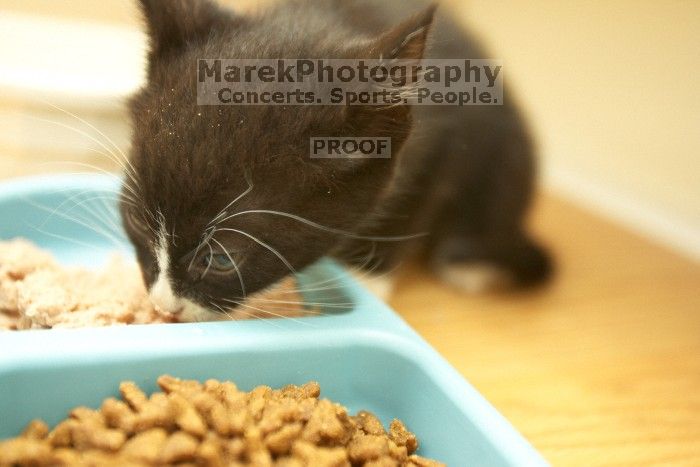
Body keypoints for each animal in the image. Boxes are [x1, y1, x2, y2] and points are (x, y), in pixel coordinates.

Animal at [124, 0, 552, 322]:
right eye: (135, 220)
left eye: (221, 259)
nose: (163, 305)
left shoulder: (448, 140)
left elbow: (417, 199)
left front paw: (369, 279)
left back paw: (470, 265)